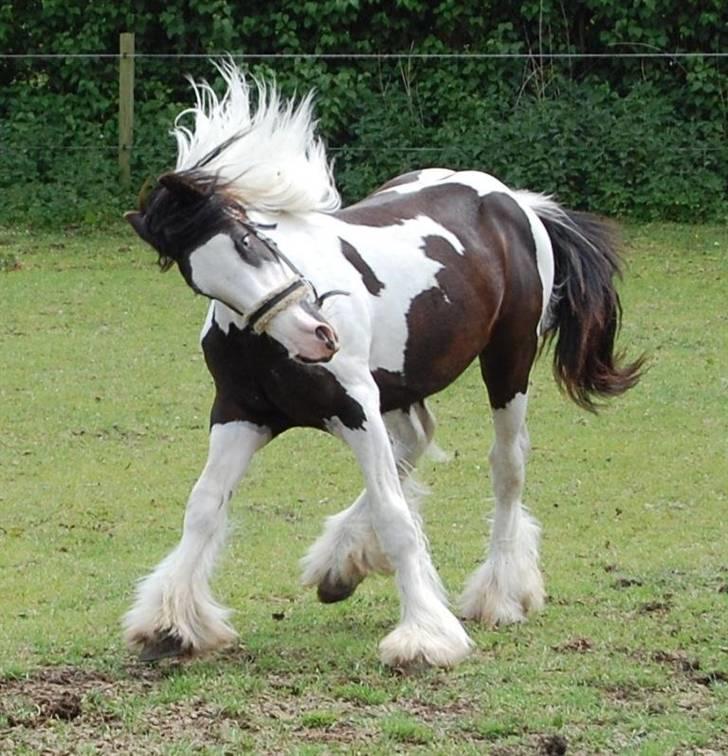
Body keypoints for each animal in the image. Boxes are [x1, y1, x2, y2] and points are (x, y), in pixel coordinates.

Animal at [125, 63, 644, 668]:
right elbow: (204, 507)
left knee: (506, 466)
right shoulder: (241, 415)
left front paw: (424, 636)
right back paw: (341, 564)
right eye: (199, 279)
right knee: (414, 444)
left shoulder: (356, 406)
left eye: (252, 239)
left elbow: (395, 516)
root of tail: (514, 200)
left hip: (506, 364)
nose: (317, 336)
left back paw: (499, 594)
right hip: (400, 385)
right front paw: (171, 623)